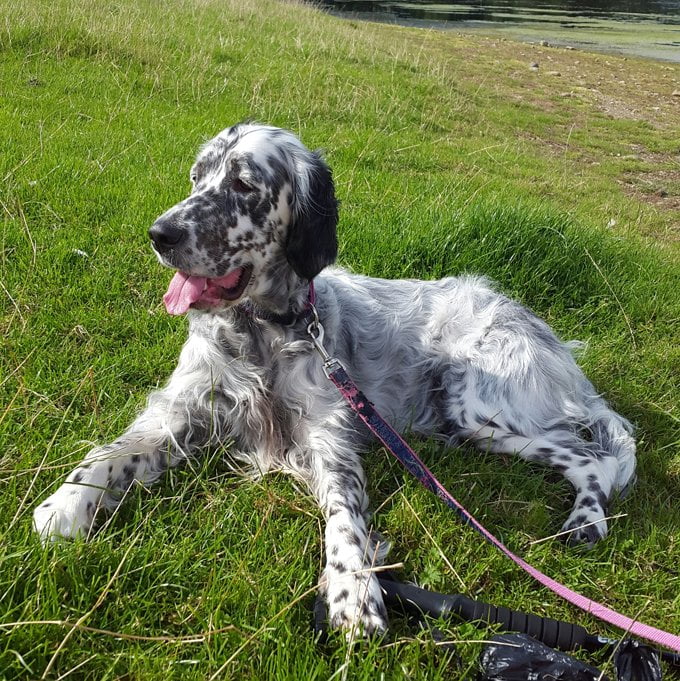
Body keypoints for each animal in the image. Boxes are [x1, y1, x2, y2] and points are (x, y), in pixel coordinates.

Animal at [33, 121, 636, 632]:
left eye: (243, 184)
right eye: (197, 177)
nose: (160, 233)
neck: (262, 332)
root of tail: (552, 342)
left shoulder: (330, 438)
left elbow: (345, 519)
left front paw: (353, 593)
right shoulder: (180, 411)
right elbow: (108, 455)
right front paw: (64, 506)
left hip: (477, 404)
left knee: (595, 458)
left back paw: (586, 521)